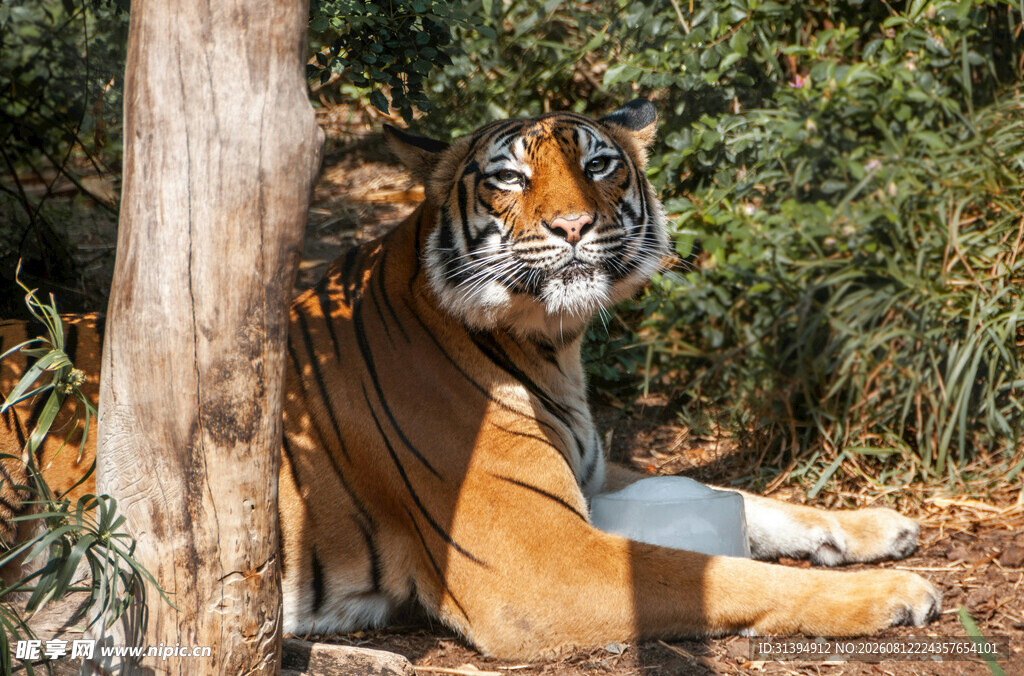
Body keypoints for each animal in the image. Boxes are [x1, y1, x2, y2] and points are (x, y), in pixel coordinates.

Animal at [0, 100, 939, 660]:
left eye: (600, 165)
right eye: (510, 177)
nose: (572, 227)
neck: (553, 344)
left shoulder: (591, 473)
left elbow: (748, 500)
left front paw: (874, 527)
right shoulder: (536, 562)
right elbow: (713, 573)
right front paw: (894, 594)